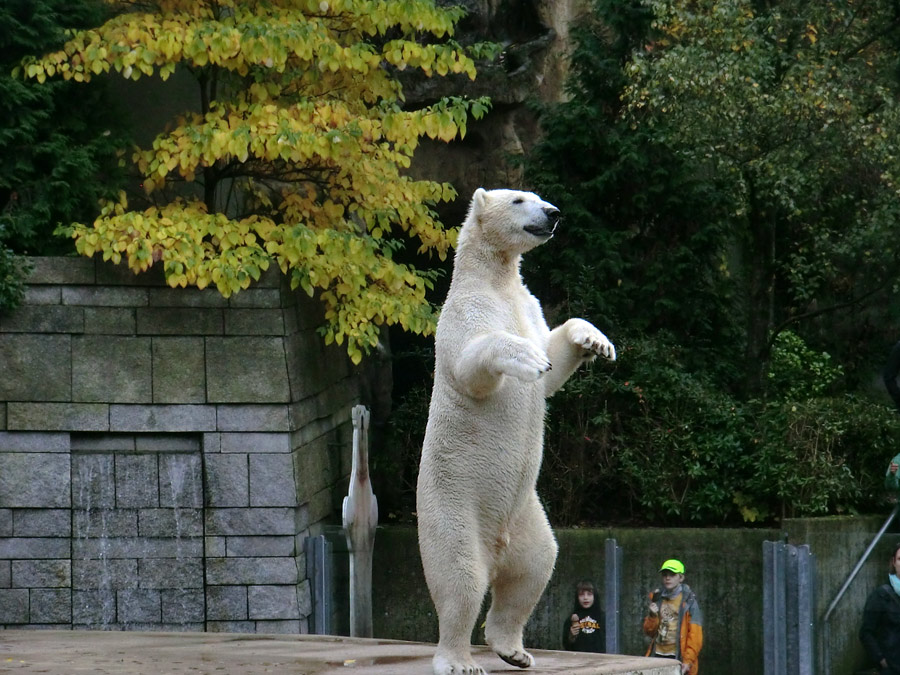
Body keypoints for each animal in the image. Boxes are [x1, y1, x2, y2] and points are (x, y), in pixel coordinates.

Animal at [416, 187, 616, 672]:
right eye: (519, 200)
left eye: (540, 197)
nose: (554, 213)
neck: (494, 279)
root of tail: (495, 546)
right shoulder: (463, 313)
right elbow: (473, 363)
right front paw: (524, 357)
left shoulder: (528, 304)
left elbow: (552, 363)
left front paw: (594, 340)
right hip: (452, 506)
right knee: (461, 579)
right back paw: (457, 658)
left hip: (526, 514)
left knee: (536, 566)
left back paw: (512, 648)